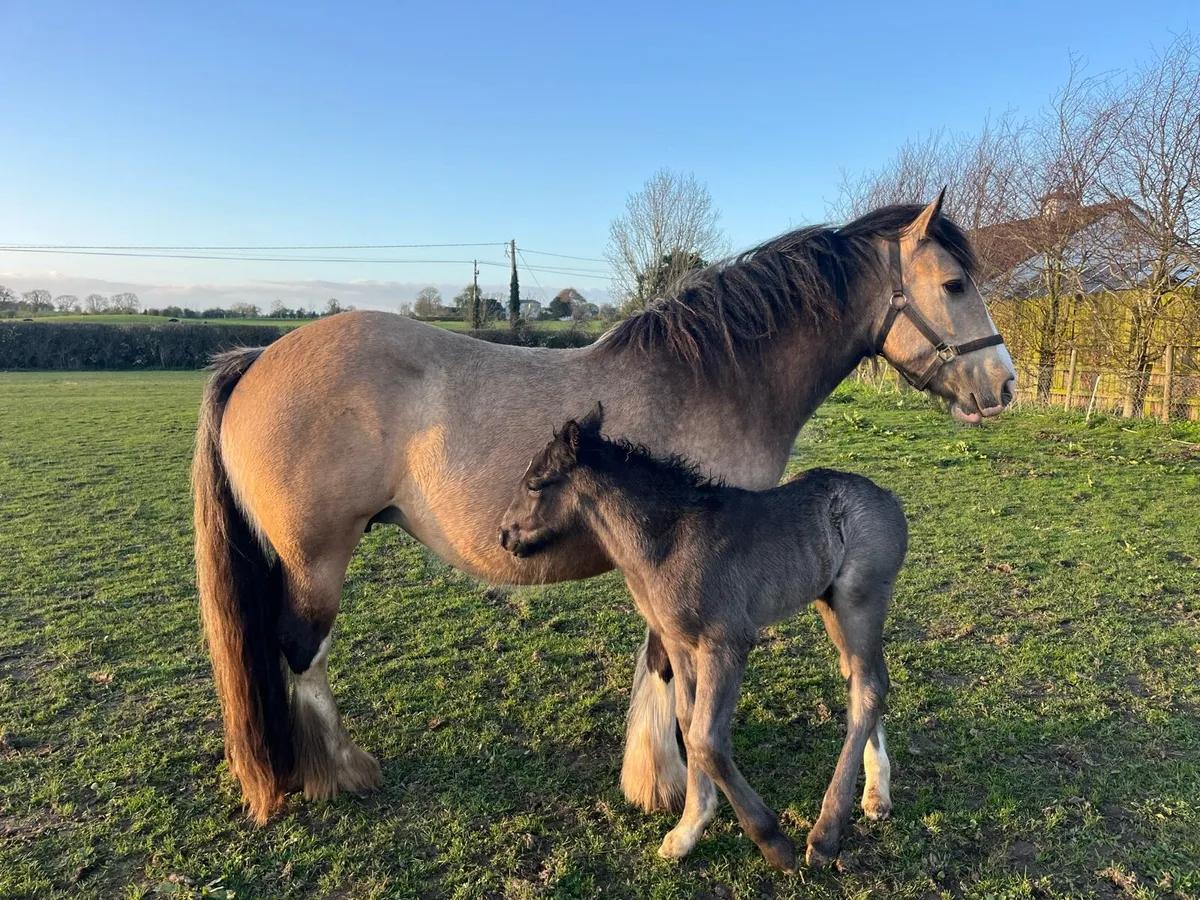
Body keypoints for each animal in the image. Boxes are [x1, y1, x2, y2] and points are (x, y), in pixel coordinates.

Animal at [499, 404, 908, 869]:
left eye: (535, 484)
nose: (505, 535)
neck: (667, 541)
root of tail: (888, 497)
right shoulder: (680, 645)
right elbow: (687, 721)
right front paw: (687, 831)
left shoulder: (726, 643)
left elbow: (705, 740)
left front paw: (772, 841)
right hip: (831, 606)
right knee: (865, 681)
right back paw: (876, 795)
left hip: (860, 602)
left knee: (868, 689)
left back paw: (824, 834)